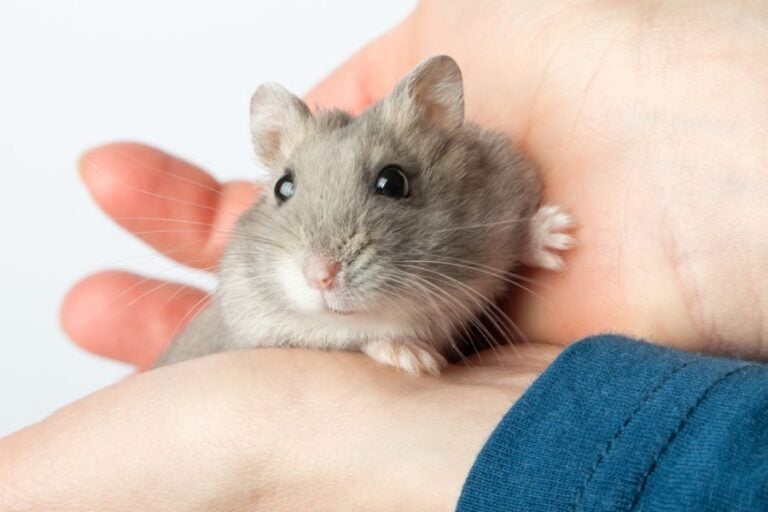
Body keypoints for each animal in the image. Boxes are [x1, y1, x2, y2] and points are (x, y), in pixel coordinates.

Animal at [156, 55, 573, 375]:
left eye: (393, 182)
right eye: (283, 188)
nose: (319, 276)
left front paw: (562, 237)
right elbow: (363, 338)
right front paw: (416, 360)